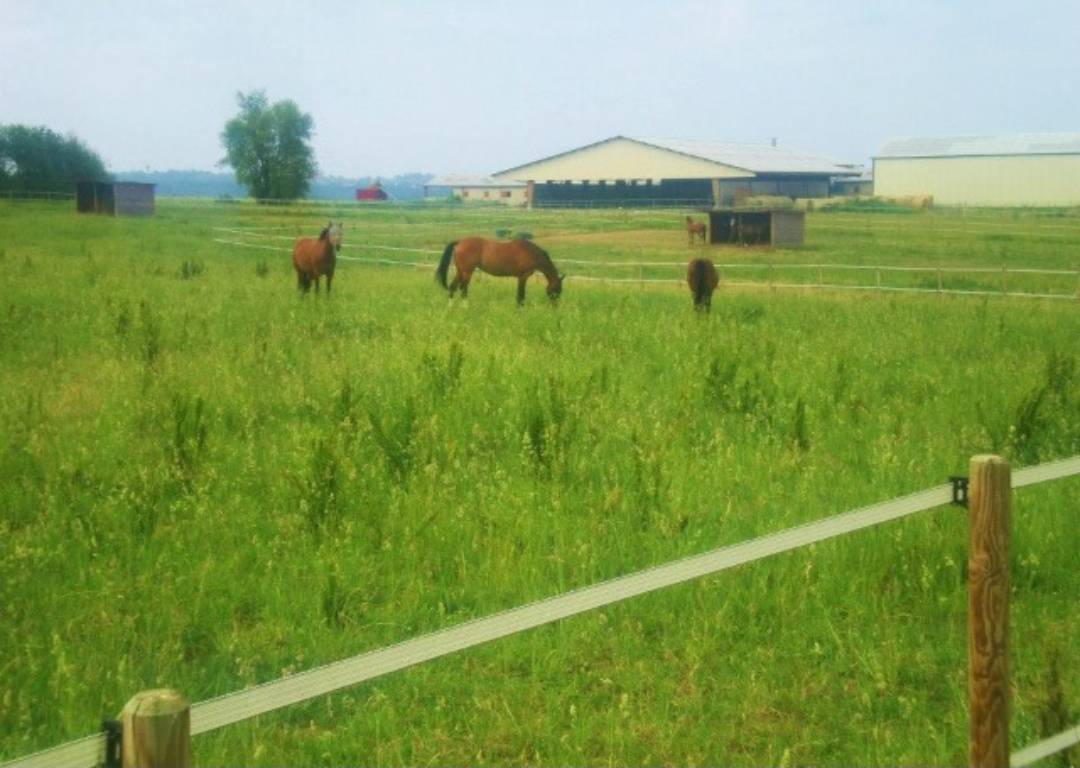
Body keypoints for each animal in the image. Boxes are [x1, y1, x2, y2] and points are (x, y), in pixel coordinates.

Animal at [435, 237, 563, 306]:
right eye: (557, 290)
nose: (555, 306)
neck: (531, 252)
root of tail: (459, 242)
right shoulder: (522, 277)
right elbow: (520, 297)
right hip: (467, 272)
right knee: (463, 289)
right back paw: (466, 307)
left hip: (460, 271)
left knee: (452, 287)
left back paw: (451, 308)